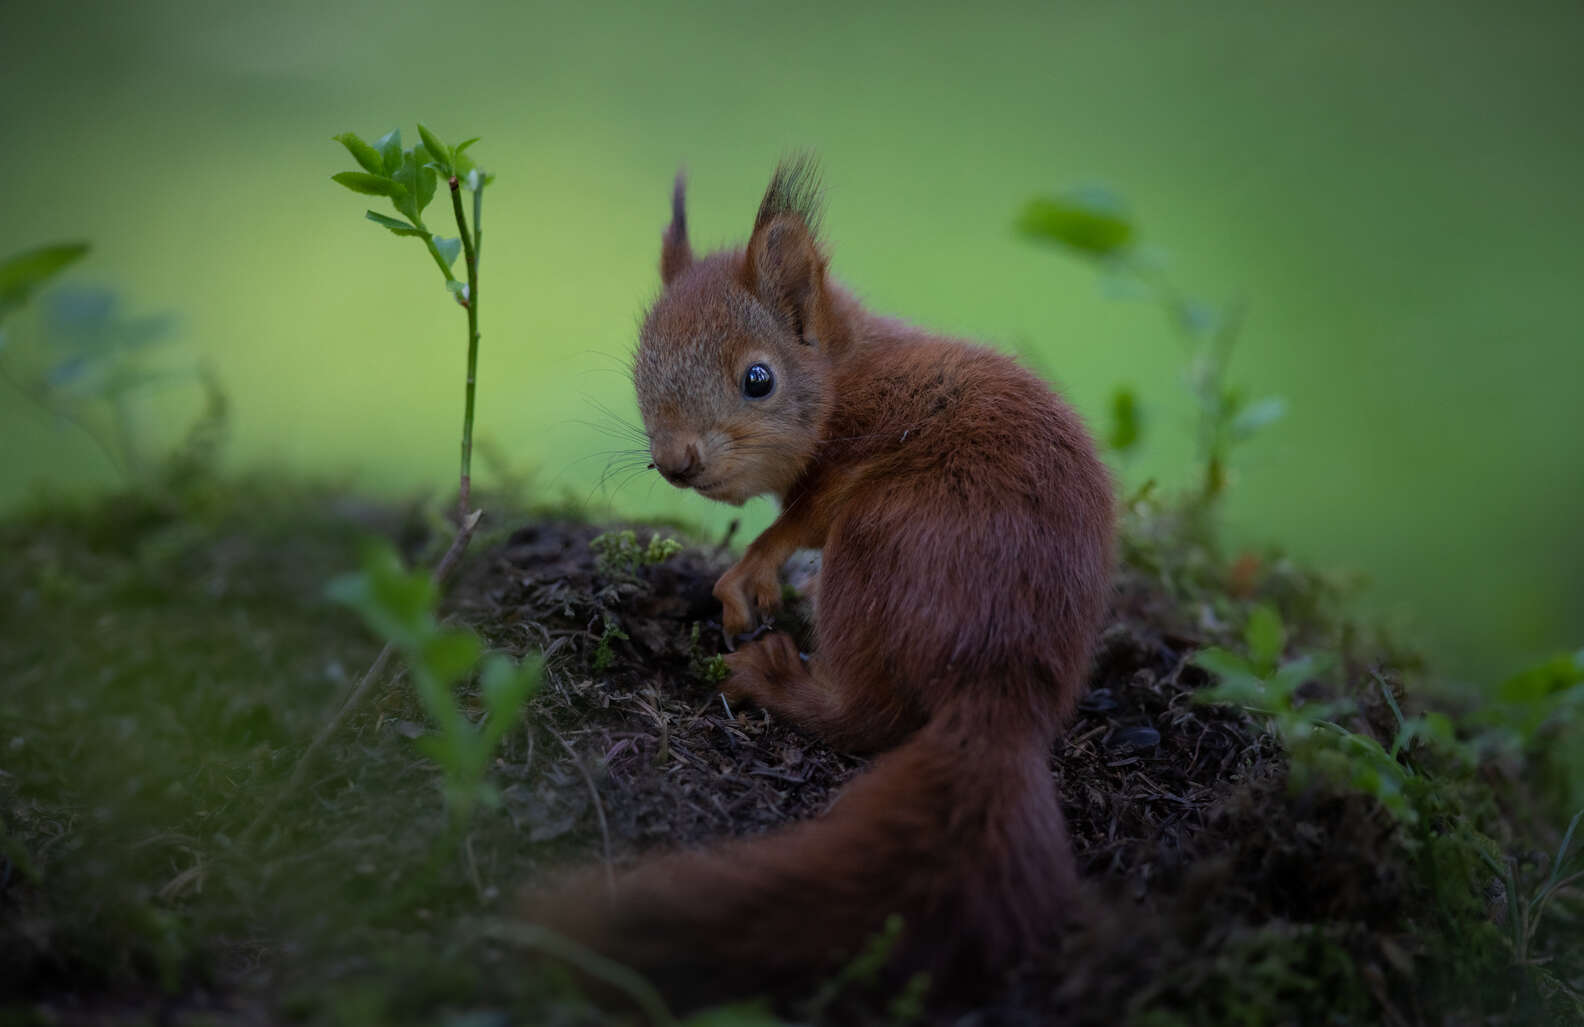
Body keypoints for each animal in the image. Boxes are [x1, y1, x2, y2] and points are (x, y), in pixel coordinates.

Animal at [532, 158, 1115, 1001]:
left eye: (759, 378)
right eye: (642, 366)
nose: (676, 462)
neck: (846, 369)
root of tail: (1003, 680)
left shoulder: (859, 456)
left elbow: (794, 525)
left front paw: (748, 576)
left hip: (877, 544)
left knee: (865, 715)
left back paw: (771, 675)